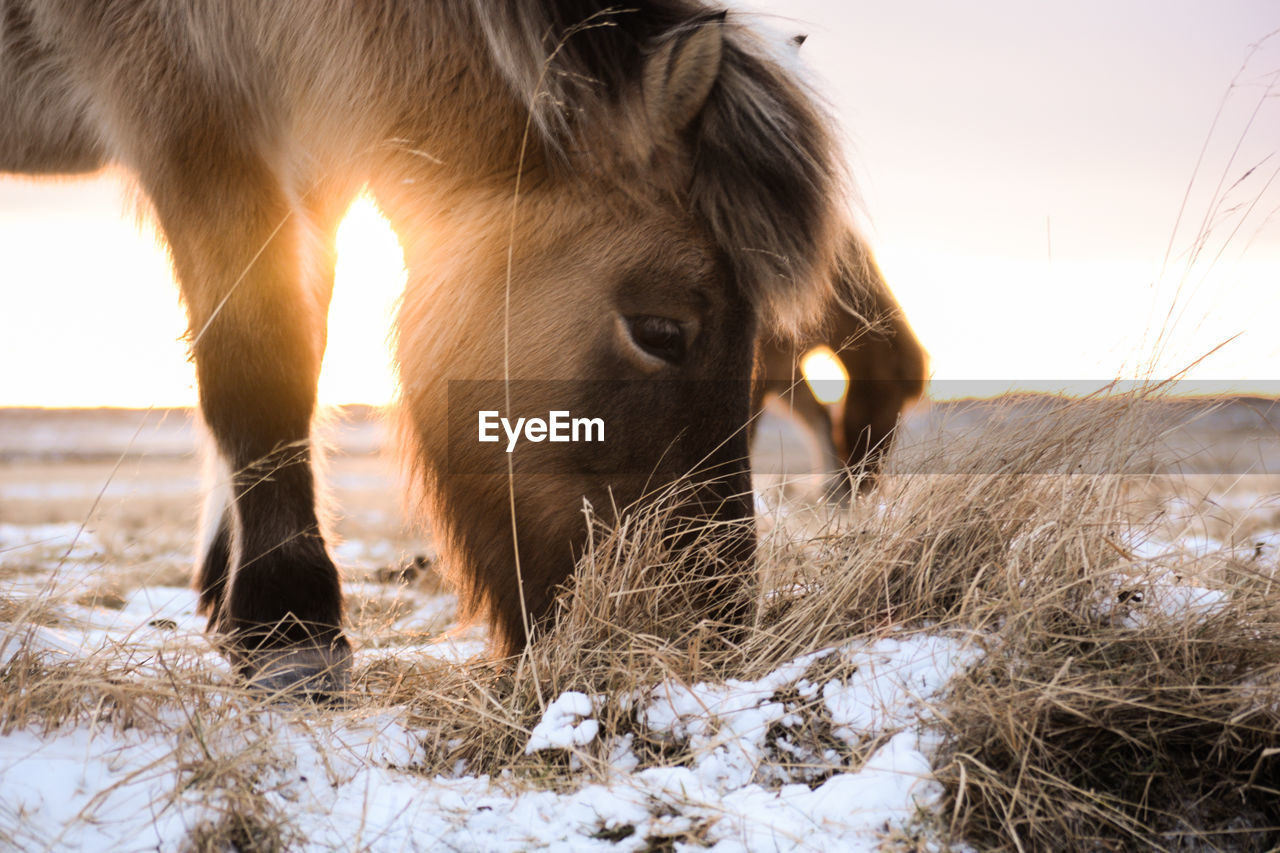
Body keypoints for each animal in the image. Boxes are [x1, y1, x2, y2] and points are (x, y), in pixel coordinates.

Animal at [0, 0, 921, 691]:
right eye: (661, 331)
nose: (704, 631)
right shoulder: (191, 120)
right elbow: (261, 353)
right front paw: (288, 617)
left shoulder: (313, 149)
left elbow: (307, 348)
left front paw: (231, 600)